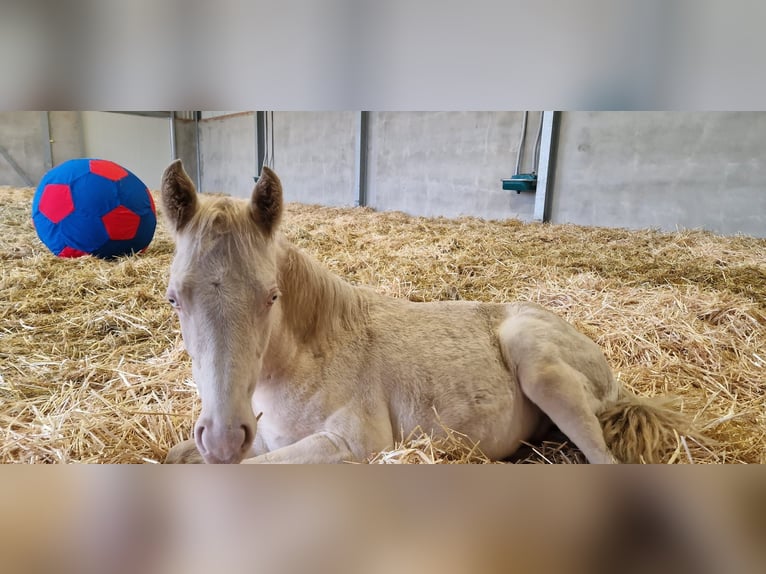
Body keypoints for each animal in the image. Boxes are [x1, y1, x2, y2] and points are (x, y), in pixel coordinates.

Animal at [162, 160, 688, 466]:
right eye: (174, 298)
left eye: (271, 296)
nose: (224, 437)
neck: (311, 356)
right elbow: (176, 456)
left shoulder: (351, 446)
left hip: (541, 367)